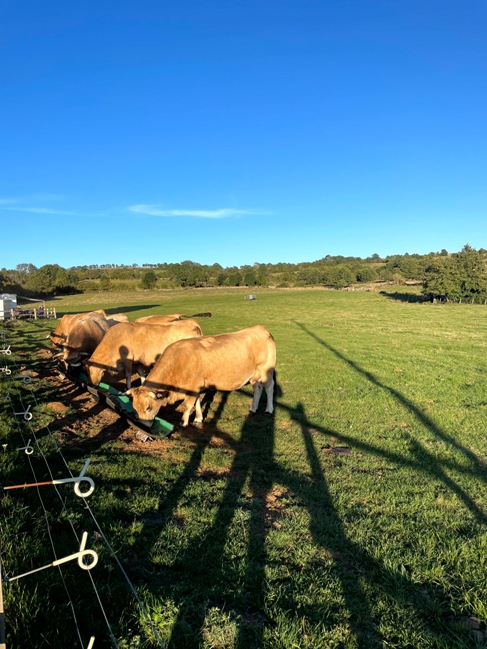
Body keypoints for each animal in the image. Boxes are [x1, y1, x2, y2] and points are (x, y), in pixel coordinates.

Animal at [126, 325, 276, 428]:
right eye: (135, 408)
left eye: (148, 407)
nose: (142, 425)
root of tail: (260, 328)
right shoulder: (196, 386)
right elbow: (197, 402)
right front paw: (198, 418)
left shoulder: (193, 386)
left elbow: (188, 404)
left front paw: (183, 421)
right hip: (255, 374)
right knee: (258, 389)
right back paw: (253, 409)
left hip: (266, 370)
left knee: (269, 388)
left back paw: (269, 410)